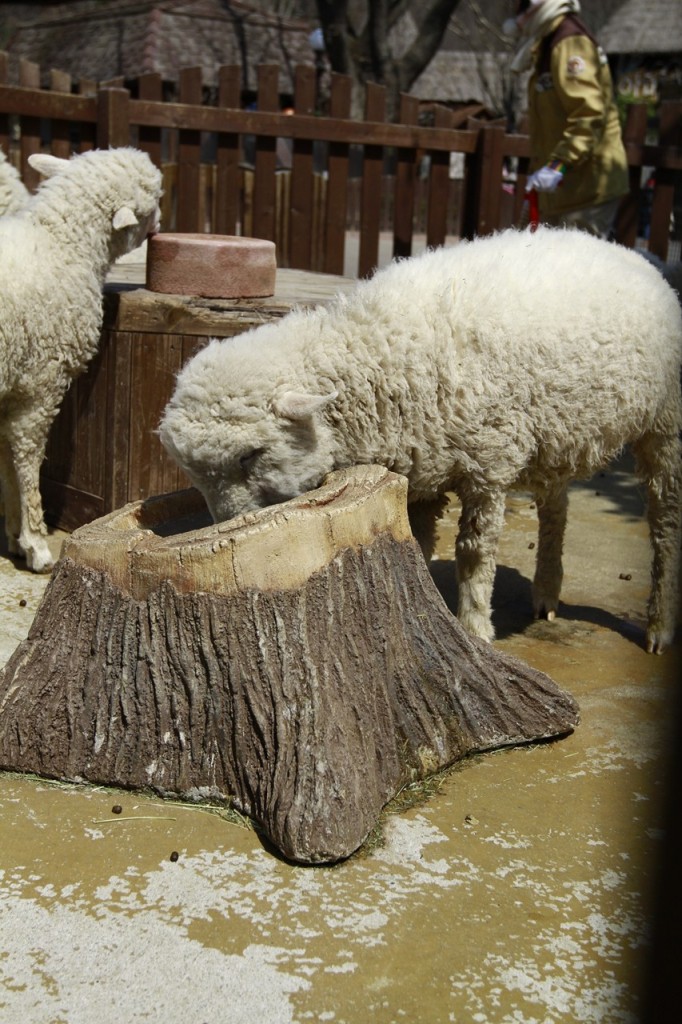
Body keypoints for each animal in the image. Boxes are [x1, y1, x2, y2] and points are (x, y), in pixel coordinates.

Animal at [0, 147, 161, 573]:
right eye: (152, 203)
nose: (160, 225)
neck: (61, 245)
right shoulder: (41, 382)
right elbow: (25, 458)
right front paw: (36, 545)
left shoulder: (11, 385)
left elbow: (5, 458)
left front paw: (12, 535)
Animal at [159, 227, 679, 651]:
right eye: (196, 477)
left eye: (251, 455)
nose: (225, 528)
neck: (377, 352)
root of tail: (626, 251)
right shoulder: (421, 468)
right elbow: (417, 544)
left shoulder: (487, 465)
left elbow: (473, 554)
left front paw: (474, 630)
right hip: (554, 436)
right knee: (556, 509)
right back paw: (547, 593)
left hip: (666, 428)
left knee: (665, 523)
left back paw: (659, 626)